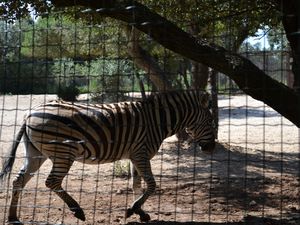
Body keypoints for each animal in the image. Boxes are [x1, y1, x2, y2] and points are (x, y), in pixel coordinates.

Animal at [0, 89, 216, 223]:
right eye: (211, 121)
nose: (211, 148)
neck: (157, 120)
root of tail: (29, 113)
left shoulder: (135, 155)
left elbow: (137, 184)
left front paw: (140, 211)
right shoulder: (141, 153)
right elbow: (151, 185)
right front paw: (133, 209)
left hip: (36, 154)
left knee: (18, 181)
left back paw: (12, 217)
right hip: (63, 153)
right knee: (51, 181)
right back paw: (77, 210)